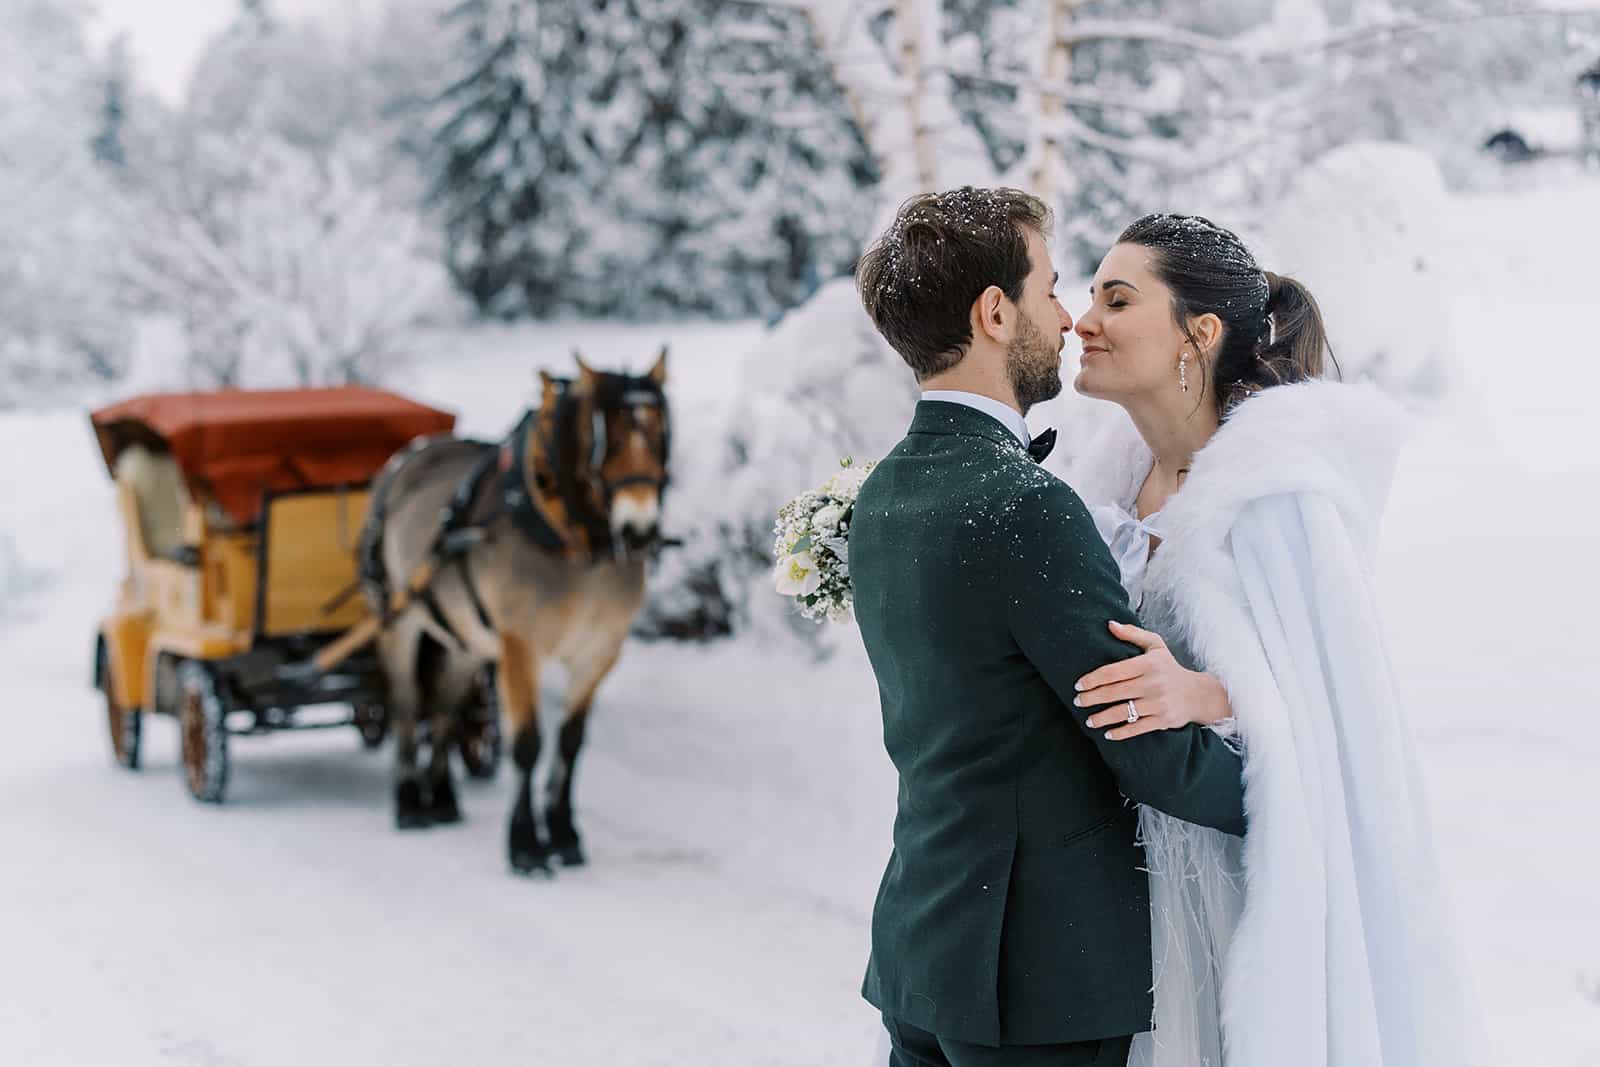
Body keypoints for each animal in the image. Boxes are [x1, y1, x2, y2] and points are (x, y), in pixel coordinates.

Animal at [358, 350, 668, 876]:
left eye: (663, 431)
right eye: (605, 436)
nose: (639, 529)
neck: (571, 538)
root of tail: (408, 458)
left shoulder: (599, 651)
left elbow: (570, 743)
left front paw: (564, 834)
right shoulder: (520, 645)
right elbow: (527, 745)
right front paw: (525, 845)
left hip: (464, 636)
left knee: (445, 704)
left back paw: (442, 798)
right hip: (398, 618)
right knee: (406, 705)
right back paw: (408, 802)